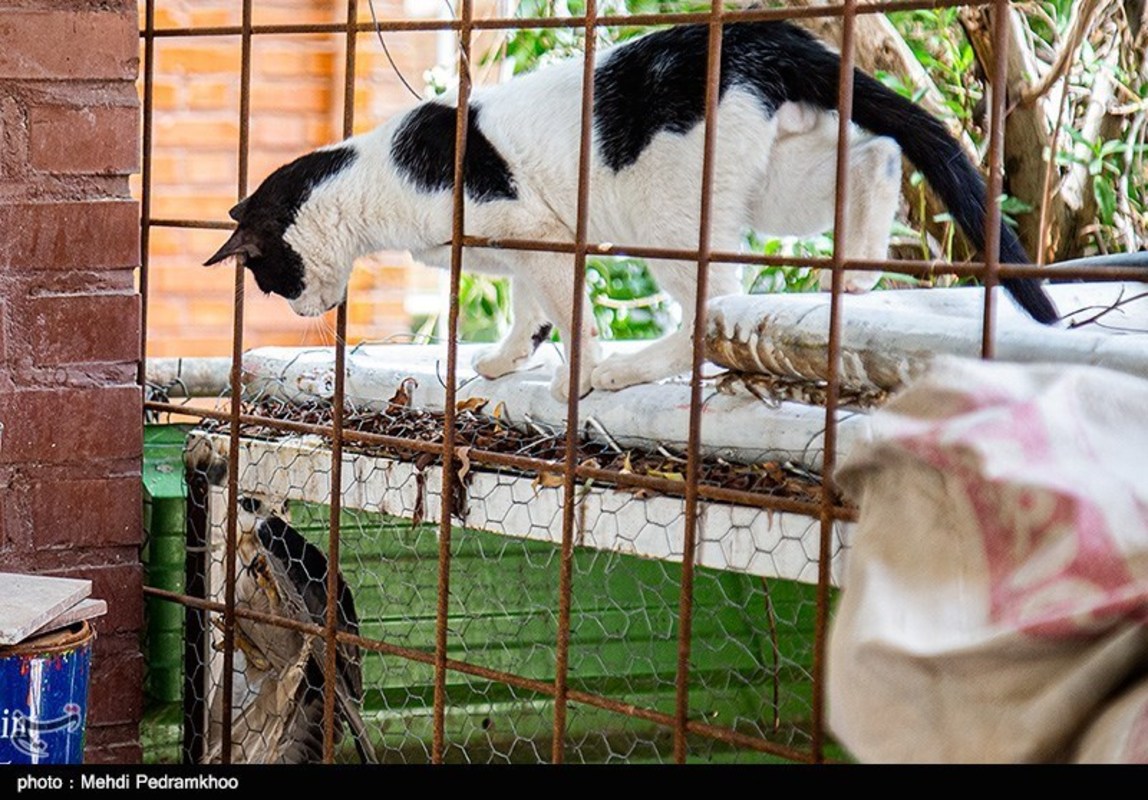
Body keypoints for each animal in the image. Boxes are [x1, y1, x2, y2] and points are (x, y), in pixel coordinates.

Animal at [206, 20, 1056, 399]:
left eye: (270, 280)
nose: (304, 310)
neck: (373, 175)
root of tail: (765, 33)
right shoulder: (527, 245)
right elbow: (529, 309)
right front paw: (508, 358)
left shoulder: (535, 228)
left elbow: (572, 314)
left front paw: (577, 377)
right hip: (779, 181)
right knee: (876, 155)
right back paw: (855, 276)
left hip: (670, 216)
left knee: (715, 311)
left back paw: (631, 371)